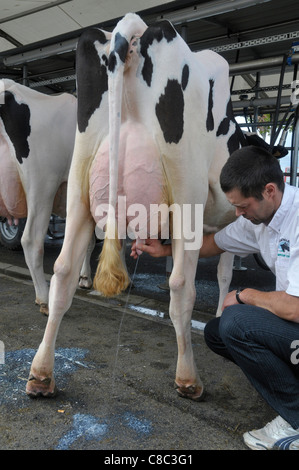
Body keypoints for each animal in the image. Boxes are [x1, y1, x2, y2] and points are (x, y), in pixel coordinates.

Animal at [26, 12, 239, 398]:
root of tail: (132, 27)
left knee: (63, 270)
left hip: (79, 183)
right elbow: (223, 274)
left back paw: (41, 374)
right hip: (185, 191)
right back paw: (188, 378)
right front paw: (218, 315)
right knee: (180, 285)